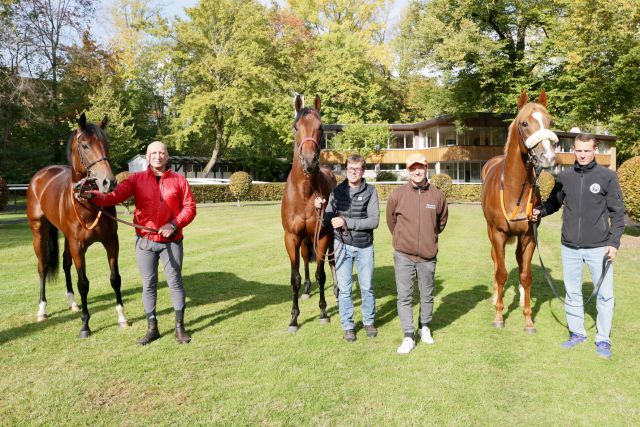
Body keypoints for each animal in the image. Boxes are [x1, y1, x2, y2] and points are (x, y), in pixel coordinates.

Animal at [26, 113, 129, 338]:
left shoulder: (111, 242)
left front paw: (122, 317)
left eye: (107, 144)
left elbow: (115, 278)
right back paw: (42, 310)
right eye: (85, 145)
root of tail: (41, 174)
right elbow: (83, 283)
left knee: (65, 264)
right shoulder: (78, 247)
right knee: (42, 267)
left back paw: (73, 303)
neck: (88, 201)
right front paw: (85, 325)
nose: (109, 182)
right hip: (40, 232)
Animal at [482, 89, 556, 332]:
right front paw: (498, 316)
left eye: (549, 122)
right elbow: (501, 273)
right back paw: (495, 297)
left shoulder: (529, 236)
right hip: (491, 234)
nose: (547, 157)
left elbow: (526, 275)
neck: (514, 188)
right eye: (524, 123)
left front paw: (528, 318)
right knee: (497, 261)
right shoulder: (498, 234)